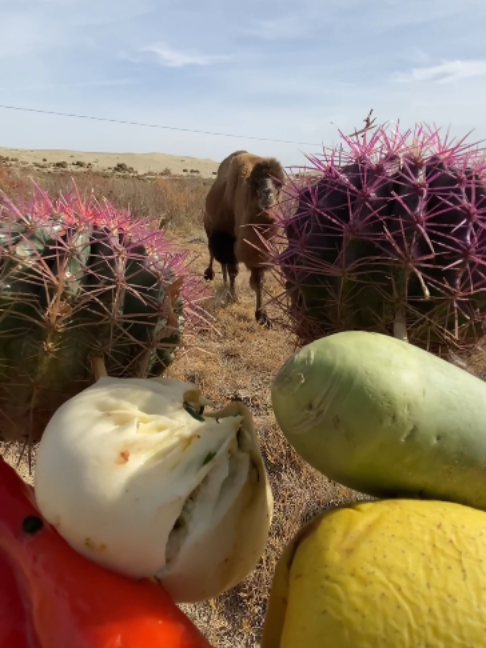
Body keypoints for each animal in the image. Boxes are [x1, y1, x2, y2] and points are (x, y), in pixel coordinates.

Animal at [203, 150, 285, 327]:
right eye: (255, 184)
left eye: (279, 184)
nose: (267, 194)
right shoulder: (227, 237)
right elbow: (234, 270)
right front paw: (233, 296)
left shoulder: (260, 252)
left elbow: (258, 280)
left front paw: (262, 316)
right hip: (209, 226)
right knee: (214, 254)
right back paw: (210, 275)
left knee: (223, 263)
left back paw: (224, 284)